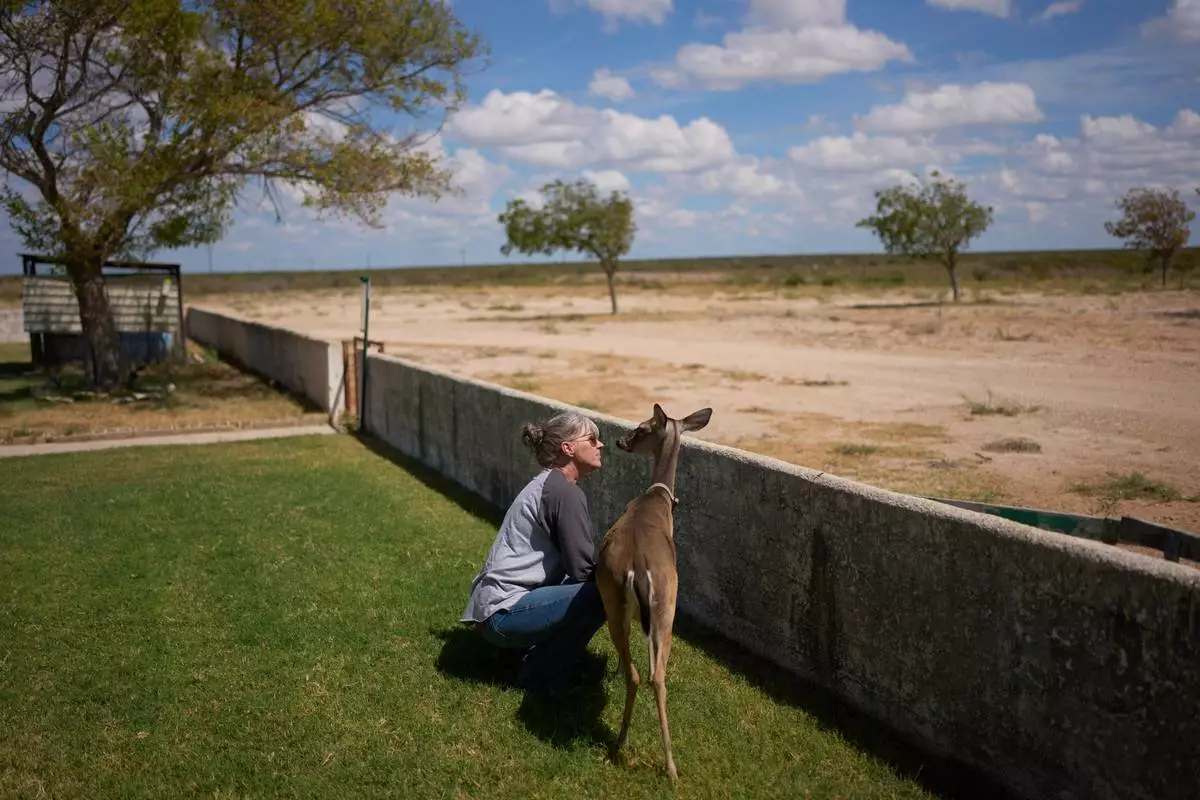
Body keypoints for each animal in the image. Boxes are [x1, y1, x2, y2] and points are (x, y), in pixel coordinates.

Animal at [595, 403, 713, 783]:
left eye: (642, 427)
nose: (620, 441)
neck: (657, 497)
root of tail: (639, 569)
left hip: (616, 600)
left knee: (639, 673)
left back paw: (620, 745)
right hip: (665, 607)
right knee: (655, 676)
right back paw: (670, 767)